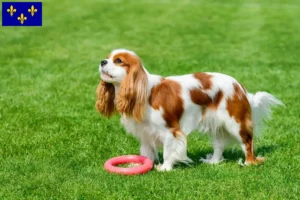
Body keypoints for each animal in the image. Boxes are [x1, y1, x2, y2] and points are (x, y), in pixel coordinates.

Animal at [96, 49, 284, 171]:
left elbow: (168, 151)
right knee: (219, 145)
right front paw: (140, 165)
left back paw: (249, 162)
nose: (102, 61)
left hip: (235, 122)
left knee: (247, 142)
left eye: (118, 61)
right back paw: (213, 161)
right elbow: (146, 152)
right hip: (216, 124)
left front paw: (165, 168)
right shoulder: (145, 132)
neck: (145, 92)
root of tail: (240, 86)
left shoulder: (170, 130)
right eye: (107, 58)